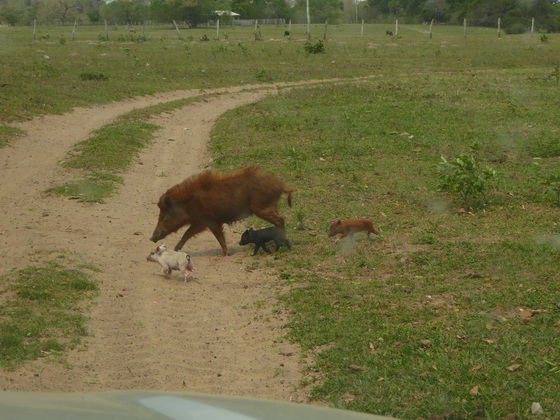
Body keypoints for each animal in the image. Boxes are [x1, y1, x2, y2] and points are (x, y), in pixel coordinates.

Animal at [151, 167, 296, 256]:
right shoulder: (202, 222)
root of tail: (280, 186)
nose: (151, 238)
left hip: (262, 207)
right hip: (270, 206)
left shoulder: (208, 221)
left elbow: (215, 236)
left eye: (163, 216)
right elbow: (188, 233)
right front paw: (176, 249)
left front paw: (225, 254)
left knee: (281, 219)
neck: (188, 204)